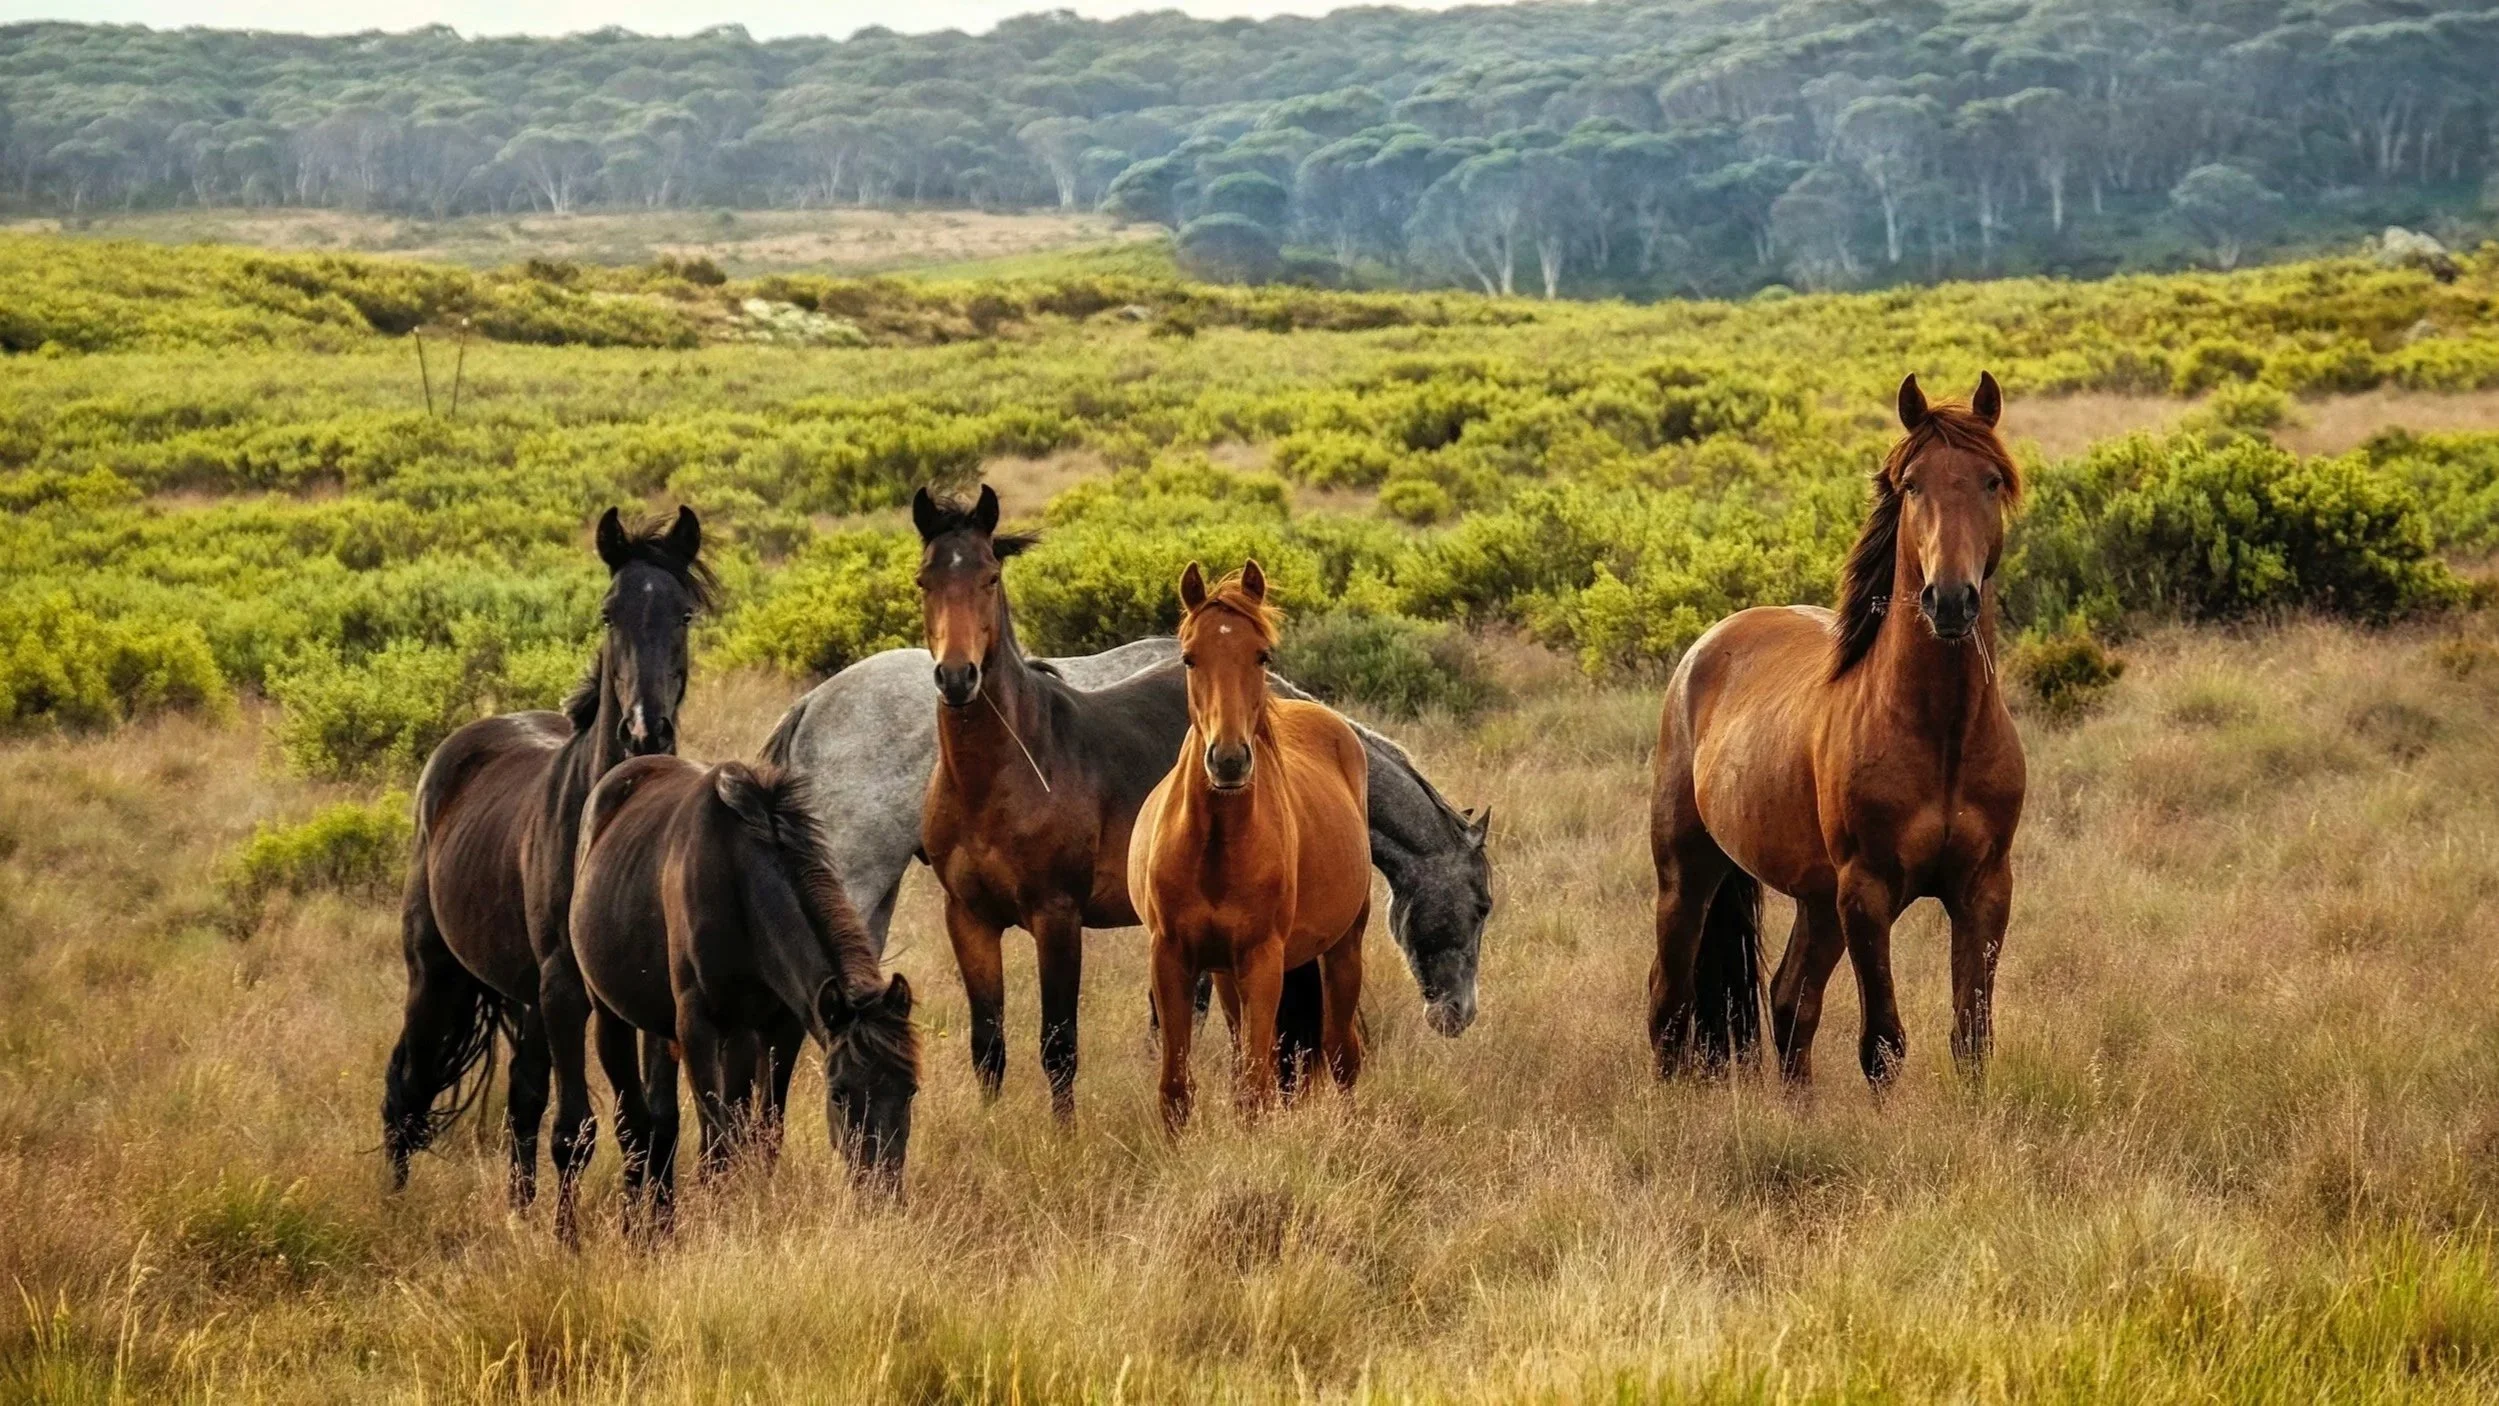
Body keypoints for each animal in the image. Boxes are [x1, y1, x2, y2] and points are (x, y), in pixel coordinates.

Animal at [381, 506, 710, 1203]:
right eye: (609, 613)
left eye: (684, 614)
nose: (645, 730)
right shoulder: (564, 989)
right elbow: (578, 1130)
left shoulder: (642, 997)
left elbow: (656, 1127)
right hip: (436, 976)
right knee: (405, 1089)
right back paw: (392, 1206)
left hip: (524, 998)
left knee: (520, 1104)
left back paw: (519, 1210)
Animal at [560, 756, 918, 1236]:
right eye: (839, 1093)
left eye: (910, 1091)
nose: (882, 1196)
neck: (739, 884)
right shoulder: (698, 1027)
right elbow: (717, 1145)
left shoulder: (779, 1028)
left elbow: (764, 1133)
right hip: (610, 1017)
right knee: (633, 1125)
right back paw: (638, 1230)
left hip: (677, 1030)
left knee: (663, 1122)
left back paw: (661, 1222)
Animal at [1131, 562, 1371, 1130]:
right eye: (1189, 657)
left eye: (1261, 654)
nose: (1229, 760)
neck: (1215, 848)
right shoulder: (1172, 957)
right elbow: (1177, 1089)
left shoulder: (1263, 961)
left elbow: (1256, 1089)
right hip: (1225, 974)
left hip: (1343, 947)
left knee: (1342, 1053)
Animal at [1648, 373, 2025, 1087]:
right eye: (1913, 485)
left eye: (1991, 480)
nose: (1950, 600)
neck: (1942, 734)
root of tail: (1706, 647)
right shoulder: (1867, 894)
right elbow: (1883, 1044)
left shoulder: (1984, 890)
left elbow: (1973, 1037)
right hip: (1688, 875)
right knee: (1669, 1002)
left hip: (1816, 899)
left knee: (1789, 1001)